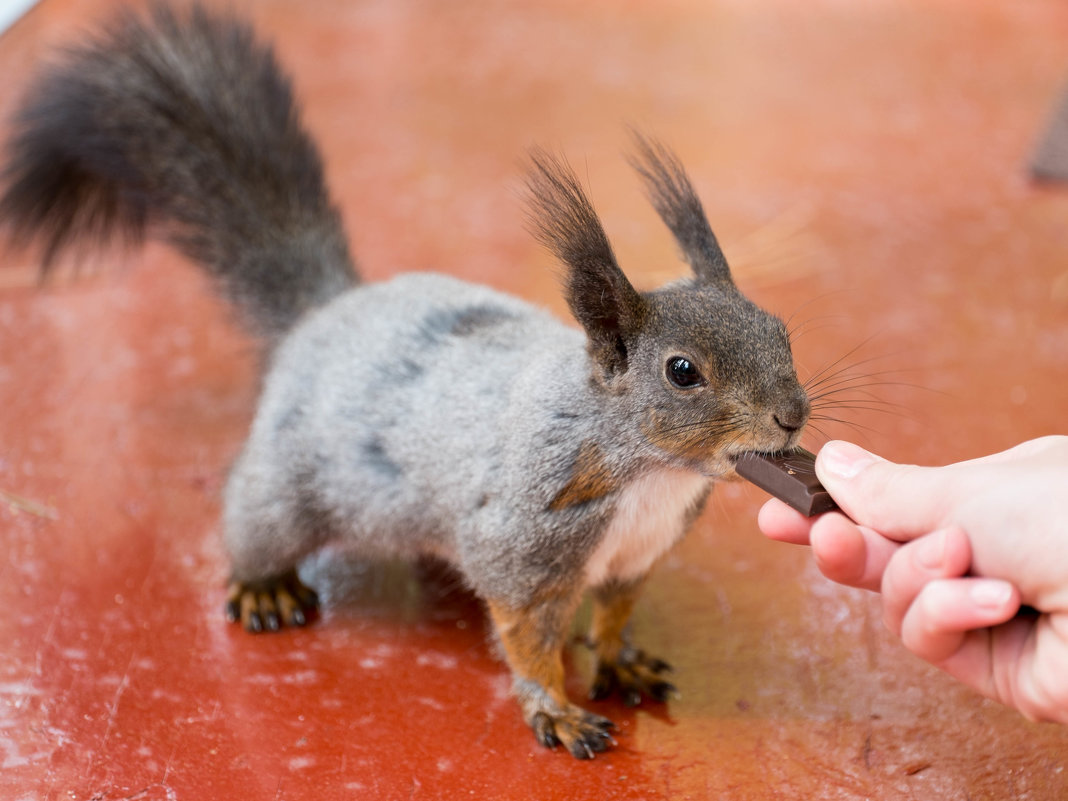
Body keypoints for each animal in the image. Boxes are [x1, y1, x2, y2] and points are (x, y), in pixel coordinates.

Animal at [2, 4, 807, 760]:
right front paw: (556, 708)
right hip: (288, 484)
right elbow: (528, 636)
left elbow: (612, 616)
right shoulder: (520, 539)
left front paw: (621, 661)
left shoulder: (636, 556)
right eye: (682, 372)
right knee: (253, 519)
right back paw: (263, 585)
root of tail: (325, 313)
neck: (653, 473)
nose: (793, 415)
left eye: (780, 329)